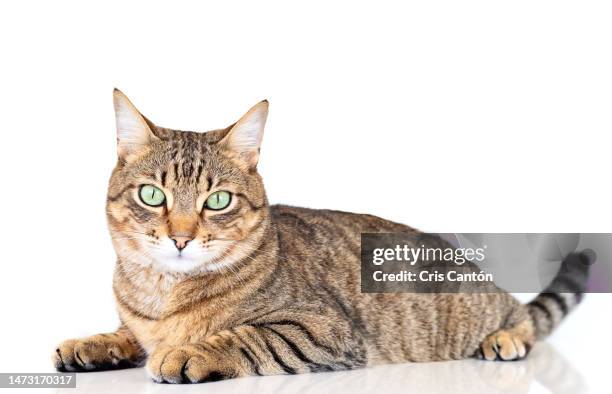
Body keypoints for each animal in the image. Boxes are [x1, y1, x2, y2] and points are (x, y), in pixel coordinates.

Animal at [53, 91, 592, 384]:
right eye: (152, 194)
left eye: (218, 201)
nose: (180, 238)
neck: (163, 294)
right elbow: (127, 332)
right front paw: (95, 342)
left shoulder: (323, 329)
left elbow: (245, 335)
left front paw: (190, 351)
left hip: (479, 306)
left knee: (522, 316)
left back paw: (506, 336)